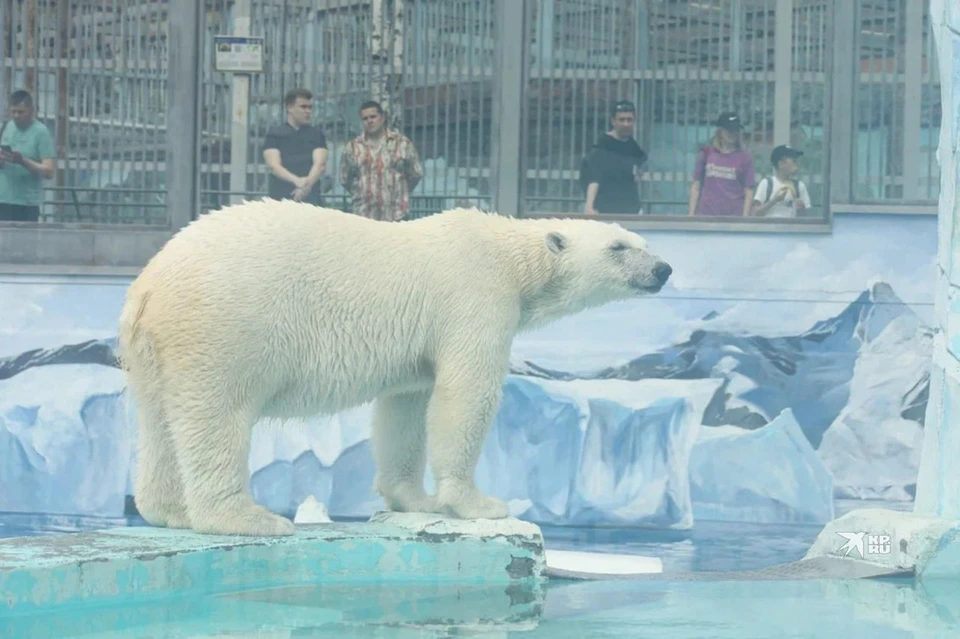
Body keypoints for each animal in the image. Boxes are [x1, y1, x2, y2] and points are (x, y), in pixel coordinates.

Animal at [116, 200, 672, 536]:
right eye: (619, 247)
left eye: (643, 242)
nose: (664, 269)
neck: (507, 251)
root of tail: (150, 282)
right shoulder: (476, 295)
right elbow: (466, 394)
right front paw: (478, 504)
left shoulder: (418, 348)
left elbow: (405, 408)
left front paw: (414, 499)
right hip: (222, 326)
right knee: (218, 414)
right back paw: (249, 518)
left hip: (152, 349)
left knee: (158, 419)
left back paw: (169, 510)